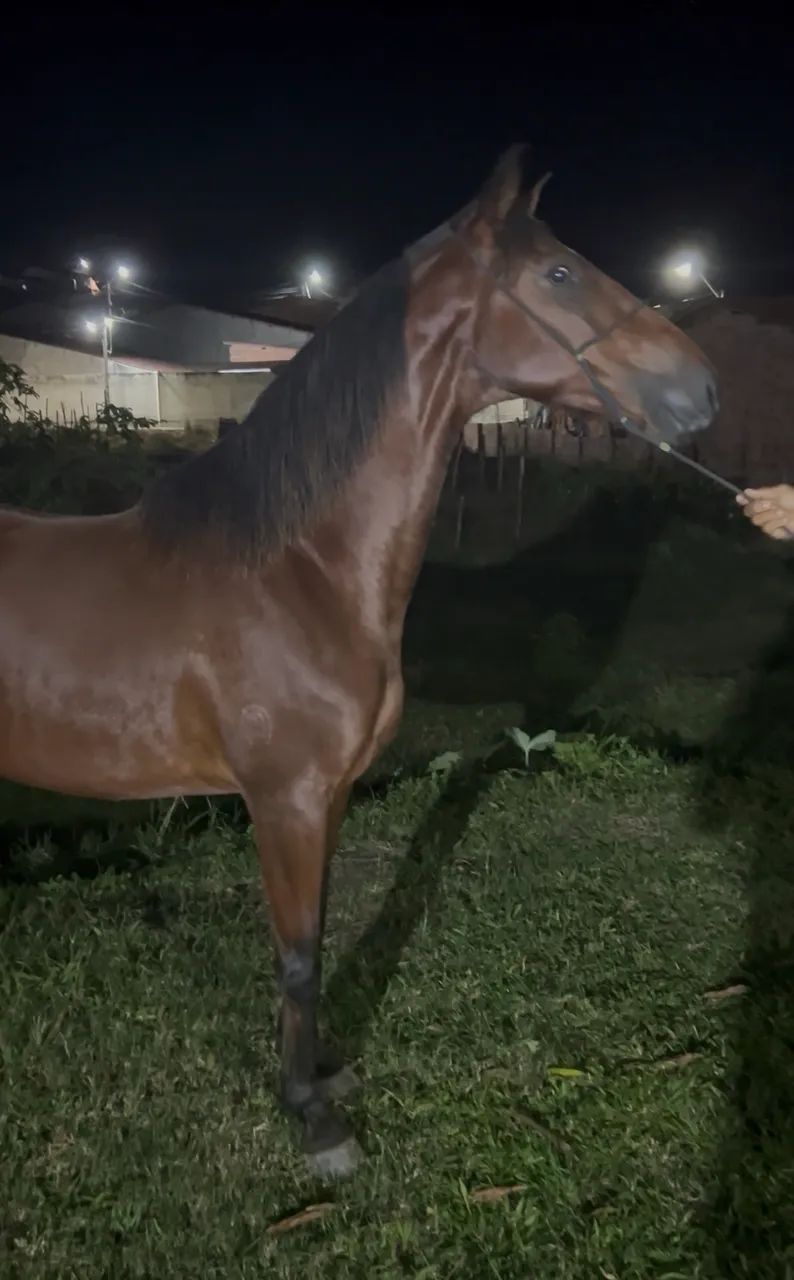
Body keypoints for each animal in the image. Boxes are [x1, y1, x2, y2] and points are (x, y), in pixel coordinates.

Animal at [0, 146, 717, 1177]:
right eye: (558, 273)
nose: (702, 386)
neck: (299, 569)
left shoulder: (327, 796)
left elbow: (318, 939)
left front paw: (323, 1076)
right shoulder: (287, 799)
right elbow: (298, 954)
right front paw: (312, 1119)